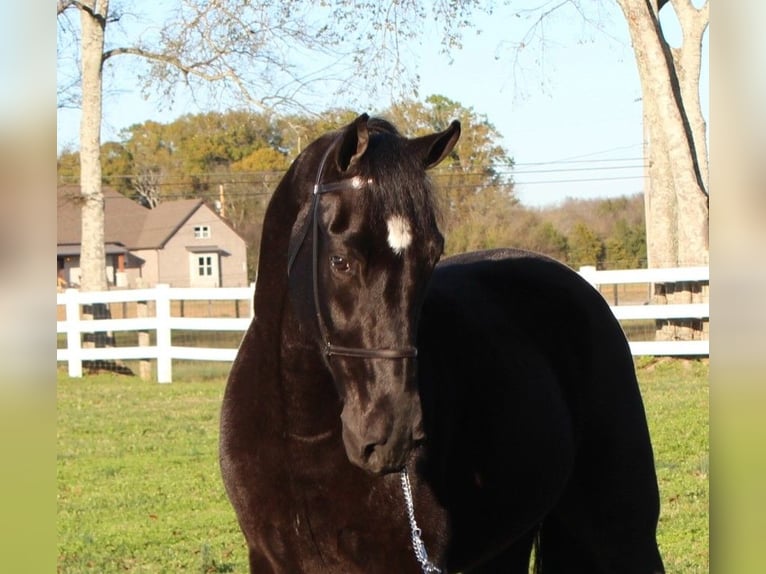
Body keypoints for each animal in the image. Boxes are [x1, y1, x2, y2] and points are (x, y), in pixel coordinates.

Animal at [222, 115, 664, 572]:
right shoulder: (270, 559)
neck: (300, 433)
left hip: (621, 530)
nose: (393, 434)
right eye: (340, 260)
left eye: (431, 256)